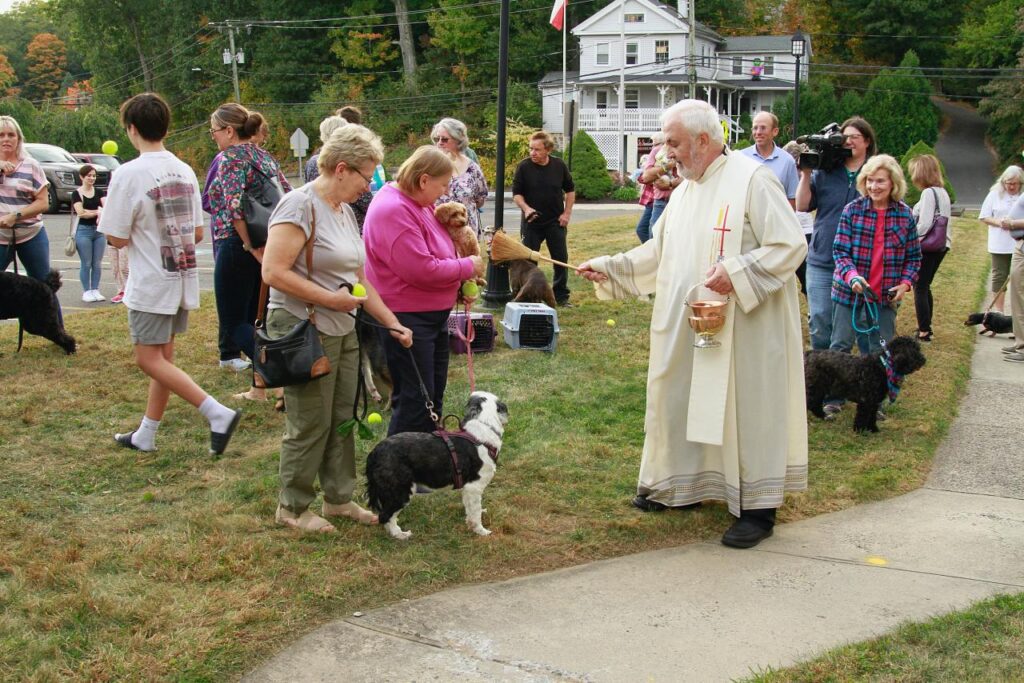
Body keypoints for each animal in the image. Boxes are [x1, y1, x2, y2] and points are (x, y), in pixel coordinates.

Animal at [365, 391, 509, 540]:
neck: (484, 426)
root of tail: (374, 453)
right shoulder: (474, 487)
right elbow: (475, 513)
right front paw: (481, 531)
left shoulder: (468, 489)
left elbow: (471, 510)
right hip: (400, 491)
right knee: (385, 516)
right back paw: (400, 534)